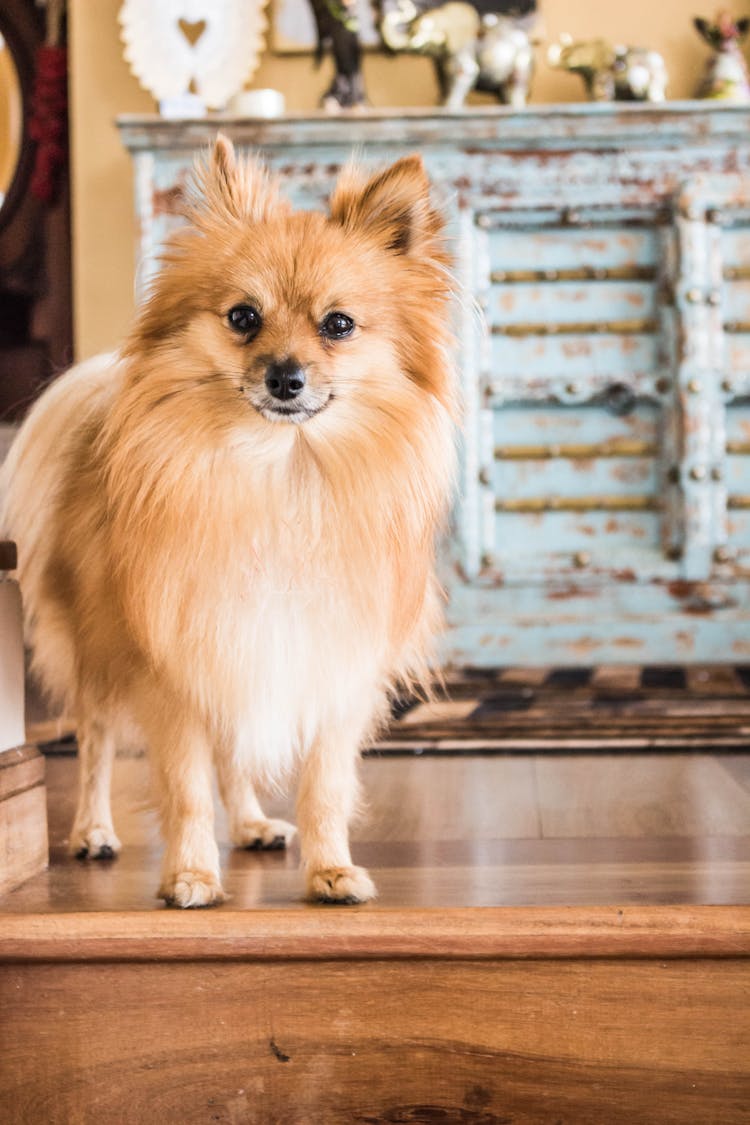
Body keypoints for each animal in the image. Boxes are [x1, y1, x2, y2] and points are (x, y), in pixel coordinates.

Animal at [1, 136, 458, 904]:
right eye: (243, 317)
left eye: (338, 325)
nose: (285, 377)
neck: (279, 473)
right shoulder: (171, 662)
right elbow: (185, 786)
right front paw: (189, 874)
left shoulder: (319, 658)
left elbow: (320, 786)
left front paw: (331, 869)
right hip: (100, 648)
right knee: (95, 742)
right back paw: (92, 831)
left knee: (234, 755)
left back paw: (249, 823)